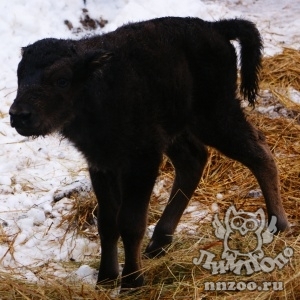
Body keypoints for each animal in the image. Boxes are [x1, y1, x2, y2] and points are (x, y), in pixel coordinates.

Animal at [8, 16, 288, 290]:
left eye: (62, 80)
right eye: (20, 76)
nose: (19, 115)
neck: (98, 84)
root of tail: (215, 27)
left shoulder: (141, 162)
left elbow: (130, 222)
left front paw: (132, 281)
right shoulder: (102, 164)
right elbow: (107, 222)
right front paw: (106, 279)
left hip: (216, 117)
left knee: (258, 152)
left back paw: (278, 226)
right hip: (180, 129)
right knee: (194, 162)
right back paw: (158, 244)